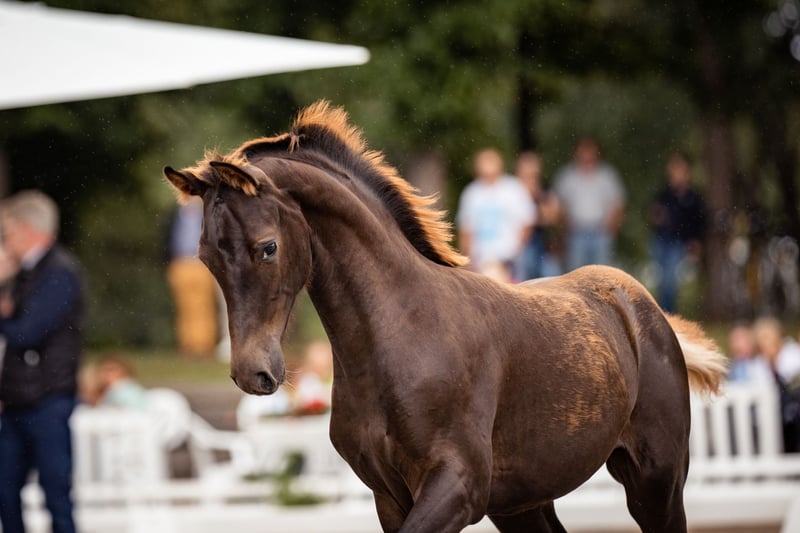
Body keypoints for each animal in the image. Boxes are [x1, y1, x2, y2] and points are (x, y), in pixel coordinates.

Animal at [163, 101, 727, 533]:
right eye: (205, 258)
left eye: (267, 247)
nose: (252, 373)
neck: (399, 336)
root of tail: (642, 306)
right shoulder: (390, 497)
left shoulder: (459, 486)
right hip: (522, 503)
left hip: (656, 479)